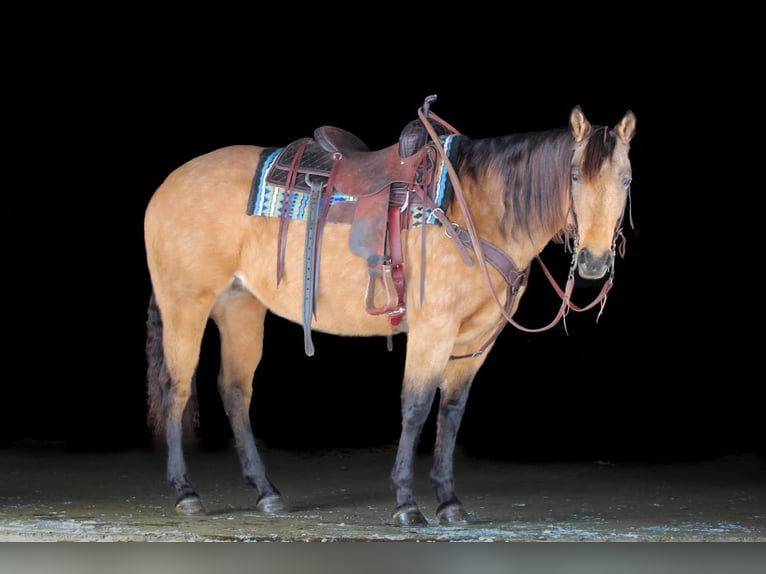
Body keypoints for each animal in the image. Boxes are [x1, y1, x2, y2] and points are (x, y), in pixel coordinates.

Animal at [144, 97, 636, 526]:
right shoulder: (433, 329)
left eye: (626, 180)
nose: (594, 261)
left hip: (240, 307)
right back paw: (186, 493)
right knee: (176, 387)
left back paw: (267, 493)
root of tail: (169, 183)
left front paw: (449, 502)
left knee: (234, 390)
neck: (476, 210)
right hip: (185, 303)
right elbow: (416, 407)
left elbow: (451, 412)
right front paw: (406, 503)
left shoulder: (476, 340)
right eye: (574, 176)